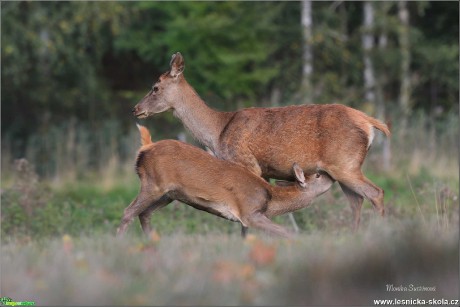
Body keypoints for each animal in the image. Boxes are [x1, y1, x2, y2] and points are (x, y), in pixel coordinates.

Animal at [133, 53, 392, 231]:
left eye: (155, 87)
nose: (135, 109)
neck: (218, 132)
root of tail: (369, 123)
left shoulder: (246, 162)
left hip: (345, 164)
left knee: (375, 192)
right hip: (341, 169)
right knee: (357, 200)